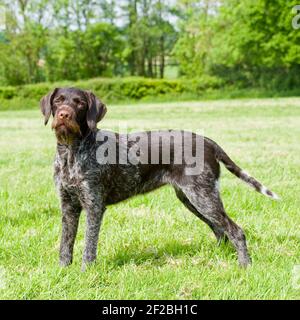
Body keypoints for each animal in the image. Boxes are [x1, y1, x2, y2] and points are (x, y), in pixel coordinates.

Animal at [39, 86, 278, 268]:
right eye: (58, 101)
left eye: (80, 103)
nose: (64, 114)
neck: (71, 152)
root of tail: (208, 141)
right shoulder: (68, 206)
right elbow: (66, 243)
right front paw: (63, 270)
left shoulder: (94, 205)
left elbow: (89, 245)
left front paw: (86, 271)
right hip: (192, 198)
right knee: (220, 230)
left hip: (203, 197)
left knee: (235, 230)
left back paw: (245, 265)